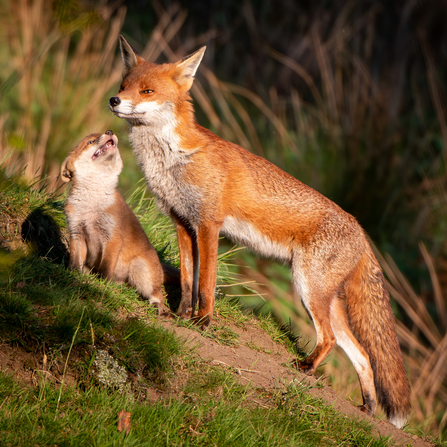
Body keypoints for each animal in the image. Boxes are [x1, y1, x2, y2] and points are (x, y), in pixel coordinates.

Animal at [60, 130, 179, 316]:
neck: (92, 208)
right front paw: (74, 276)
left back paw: (159, 306)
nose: (109, 132)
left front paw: (101, 285)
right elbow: (75, 261)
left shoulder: (112, 237)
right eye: (90, 142)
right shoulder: (76, 231)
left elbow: (106, 267)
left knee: (159, 294)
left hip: (140, 270)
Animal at [110, 35, 412, 428]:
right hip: (324, 297)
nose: (114, 101)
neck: (173, 159)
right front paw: (182, 317)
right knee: (360, 354)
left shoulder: (208, 225)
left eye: (147, 91)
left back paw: (305, 367)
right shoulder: (182, 222)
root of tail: (362, 231)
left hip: (307, 288)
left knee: (331, 340)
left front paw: (203, 322)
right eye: (123, 86)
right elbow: (189, 281)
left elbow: (206, 282)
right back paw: (367, 407)